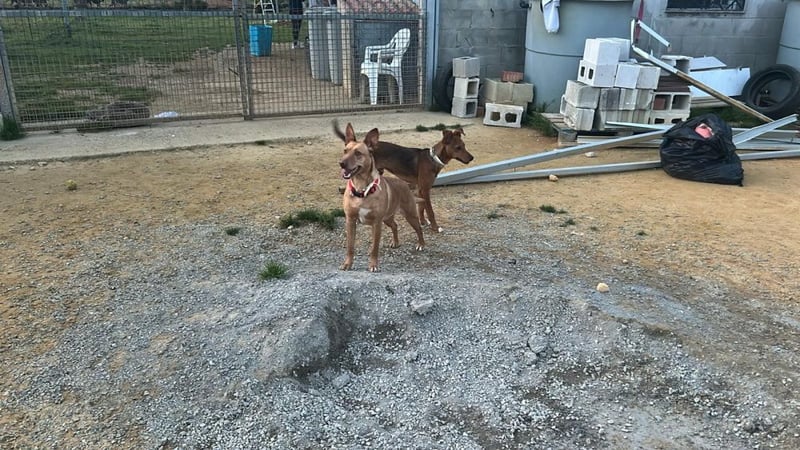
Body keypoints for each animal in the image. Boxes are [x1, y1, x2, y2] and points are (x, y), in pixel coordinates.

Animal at [334, 121, 425, 272]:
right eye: (345, 151)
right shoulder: (350, 221)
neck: (361, 190)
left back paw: (421, 244)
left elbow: (374, 248)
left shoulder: (376, 223)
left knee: (419, 229)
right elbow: (350, 247)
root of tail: (404, 184)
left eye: (358, 153)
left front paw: (373, 265)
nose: (341, 163)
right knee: (395, 225)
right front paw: (348, 264)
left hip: (409, 214)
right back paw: (396, 242)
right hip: (387, 218)